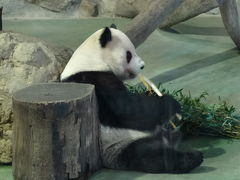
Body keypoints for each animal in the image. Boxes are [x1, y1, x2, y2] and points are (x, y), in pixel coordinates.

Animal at [60, 26, 202, 174]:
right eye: (128, 55)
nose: (142, 66)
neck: (91, 60)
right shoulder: (92, 79)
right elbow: (125, 109)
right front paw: (170, 103)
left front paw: (153, 94)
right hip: (117, 144)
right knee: (147, 154)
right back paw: (190, 157)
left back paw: (175, 135)